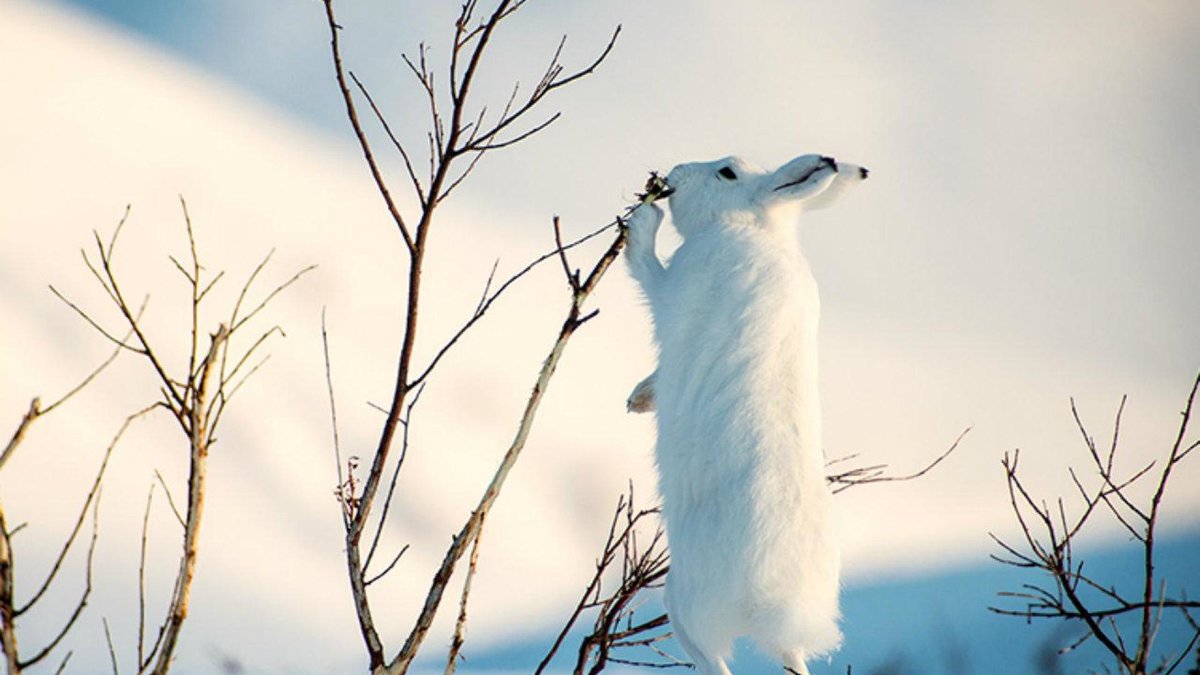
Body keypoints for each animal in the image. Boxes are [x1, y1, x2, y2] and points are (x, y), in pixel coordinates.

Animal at [623, 154, 868, 675]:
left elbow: (649, 274)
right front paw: (640, 398)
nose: (675, 171)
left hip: (684, 602)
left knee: (711, 658)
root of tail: (773, 605)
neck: (749, 226)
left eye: (727, 173)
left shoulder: (678, 284)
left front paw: (643, 222)